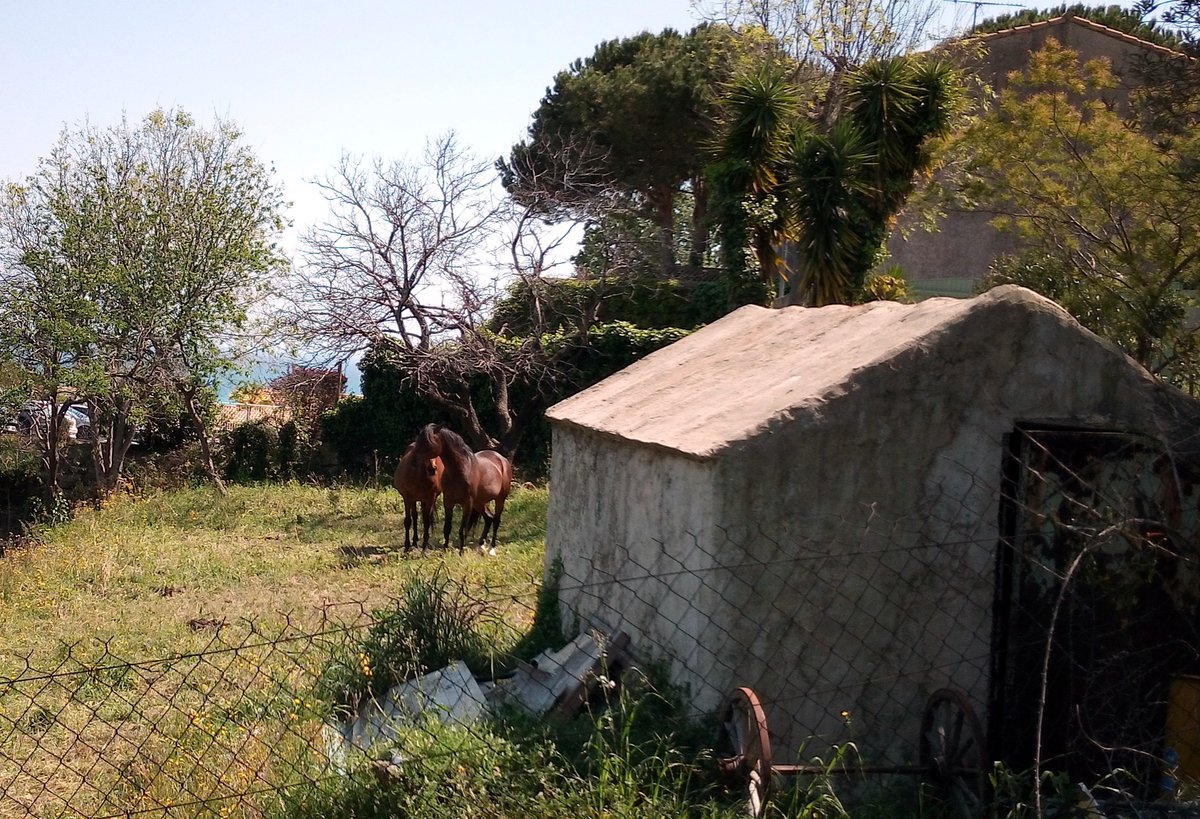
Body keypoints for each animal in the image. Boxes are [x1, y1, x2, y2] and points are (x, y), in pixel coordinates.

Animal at [412, 423, 513, 555]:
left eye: (428, 443)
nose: (414, 462)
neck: (459, 470)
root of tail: (502, 460)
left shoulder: (467, 503)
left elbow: (462, 529)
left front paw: (461, 553)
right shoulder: (448, 502)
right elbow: (447, 528)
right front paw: (445, 550)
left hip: (499, 500)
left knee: (496, 521)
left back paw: (492, 549)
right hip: (479, 503)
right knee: (489, 518)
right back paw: (481, 546)